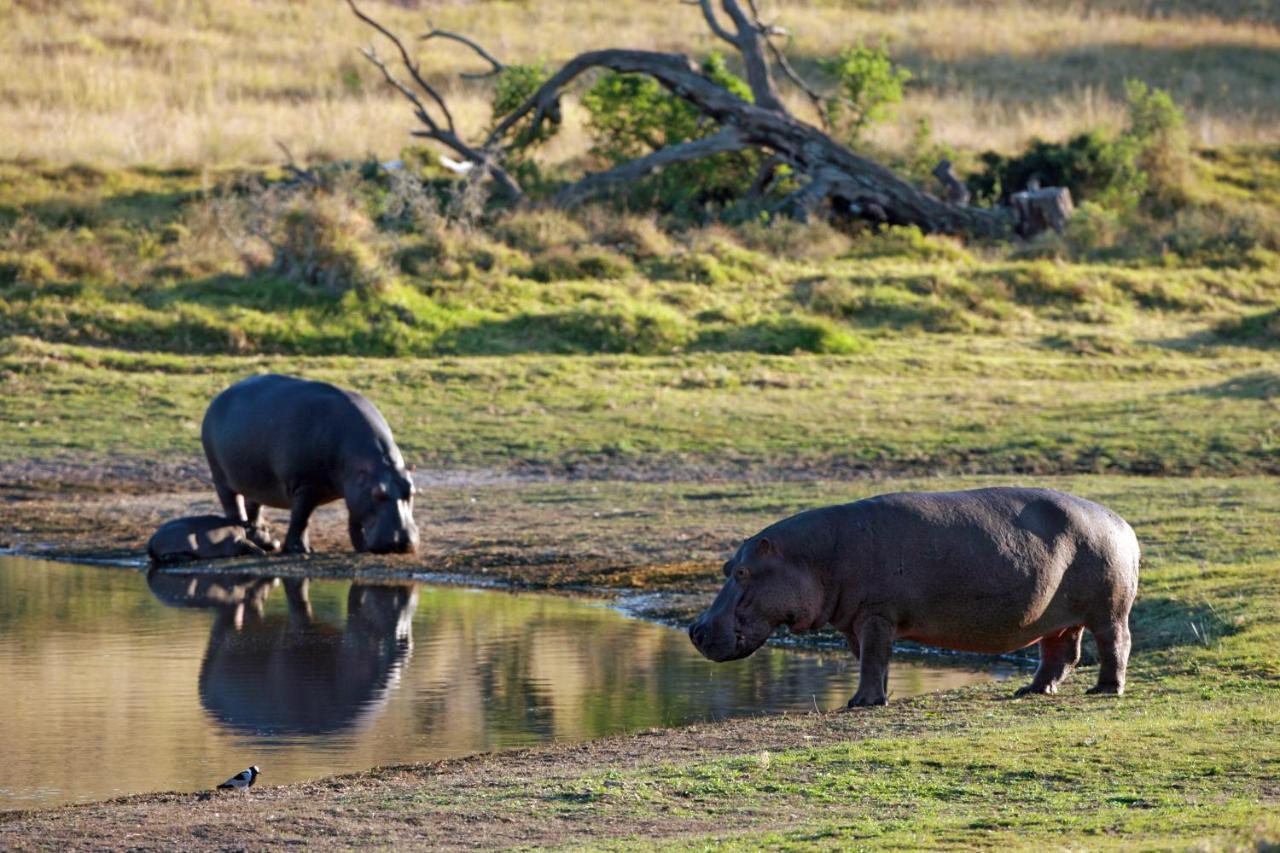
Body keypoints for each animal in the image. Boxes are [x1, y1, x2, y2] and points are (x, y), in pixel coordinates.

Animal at [200, 371, 419, 550]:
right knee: (234, 509)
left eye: (412, 491)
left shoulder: (354, 489)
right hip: (220, 476)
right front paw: (300, 550)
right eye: (378, 494)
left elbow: (353, 516)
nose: (403, 542)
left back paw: (267, 543)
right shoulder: (306, 485)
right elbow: (301, 517)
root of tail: (218, 398)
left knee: (253, 507)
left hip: (254, 479)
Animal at [691, 484, 1141, 701]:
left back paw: (1105, 689)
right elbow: (872, 660)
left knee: (1116, 644)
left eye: (744, 571)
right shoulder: (856, 622)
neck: (811, 557)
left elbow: (873, 658)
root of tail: (1121, 522)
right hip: (1056, 616)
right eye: (728, 568)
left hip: (1109, 610)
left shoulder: (876, 615)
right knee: (1061, 652)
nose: (695, 630)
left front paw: (860, 703)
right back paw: (1031, 690)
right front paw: (876, 697)